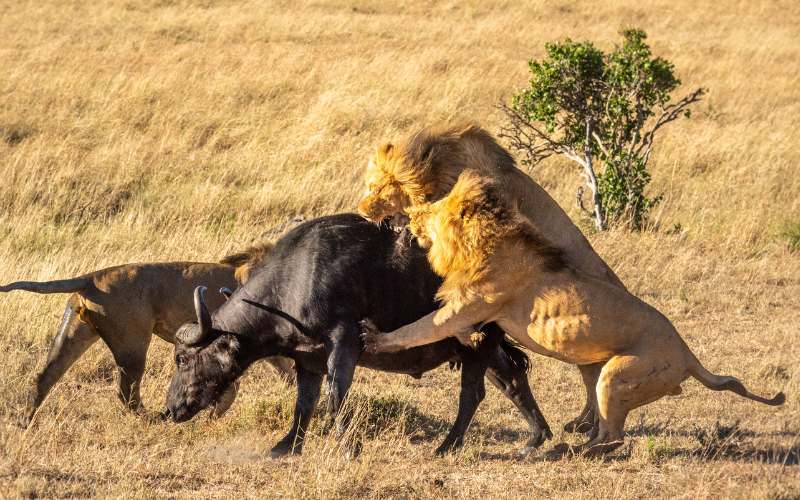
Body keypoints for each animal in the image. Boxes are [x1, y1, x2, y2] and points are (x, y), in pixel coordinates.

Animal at [0, 242, 296, 426]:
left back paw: (24, 421)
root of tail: (92, 277)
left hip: (76, 331)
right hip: (133, 343)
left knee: (45, 376)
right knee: (126, 392)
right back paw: (157, 418)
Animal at [162, 215, 552, 458]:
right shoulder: (308, 360)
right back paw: (535, 439)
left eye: (182, 358)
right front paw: (287, 446)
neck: (295, 280)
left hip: (475, 344)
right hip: (484, 345)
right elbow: (304, 404)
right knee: (512, 379)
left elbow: (335, 397)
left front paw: (349, 446)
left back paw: (447, 446)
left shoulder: (344, 342)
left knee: (473, 393)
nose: (170, 409)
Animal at [356, 123, 624, 432]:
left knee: (594, 379)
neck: (436, 172)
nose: (361, 211)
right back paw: (582, 423)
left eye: (376, 188)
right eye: (368, 185)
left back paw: (586, 424)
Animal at [360, 172, 784, 458]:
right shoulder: (473, 312)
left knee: (615, 437)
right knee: (606, 430)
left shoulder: (471, 303)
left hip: (619, 374)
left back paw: (570, 451)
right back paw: (569, 443)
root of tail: (689, 356)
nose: (398, 217)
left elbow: (420, 328)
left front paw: (375, 337)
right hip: (603, 373)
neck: (487, 241)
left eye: (428, 210)